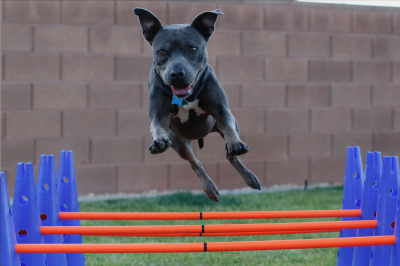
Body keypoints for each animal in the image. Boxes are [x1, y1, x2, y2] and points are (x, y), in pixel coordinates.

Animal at [133, 7, 260, 202]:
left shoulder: (221, 110)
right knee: (195, 163)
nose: (177, 74)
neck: (187, 96)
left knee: (230, 155)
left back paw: (248, 175)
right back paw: (210, 188)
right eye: (161, 52)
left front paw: (235, 143)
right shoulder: (159, 115)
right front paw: (159, 141)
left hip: (224, 126)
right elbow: (157, 127)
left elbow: (229, 128)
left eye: (192, 49)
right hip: (180, 143)